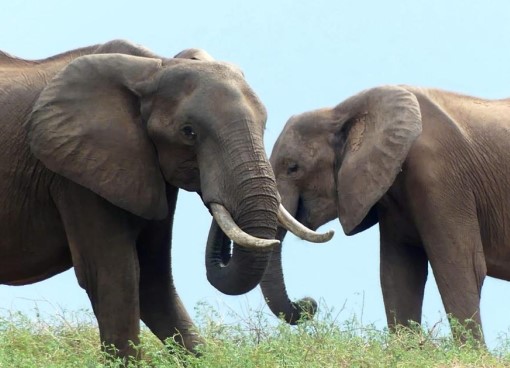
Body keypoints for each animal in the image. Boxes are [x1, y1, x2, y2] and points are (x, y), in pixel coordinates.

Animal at [0, 38, 326, 358]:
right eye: (188, 132)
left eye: (264, 126)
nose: (309, 304)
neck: (152, 68)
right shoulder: (77, 173)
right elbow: (115, 277)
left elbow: (154, 281)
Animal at [264, 85, 510, 342]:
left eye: (293, 168)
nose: (308, 304)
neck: (340, 112)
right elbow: (399, 274)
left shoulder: (442, 180)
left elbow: (461, 269)